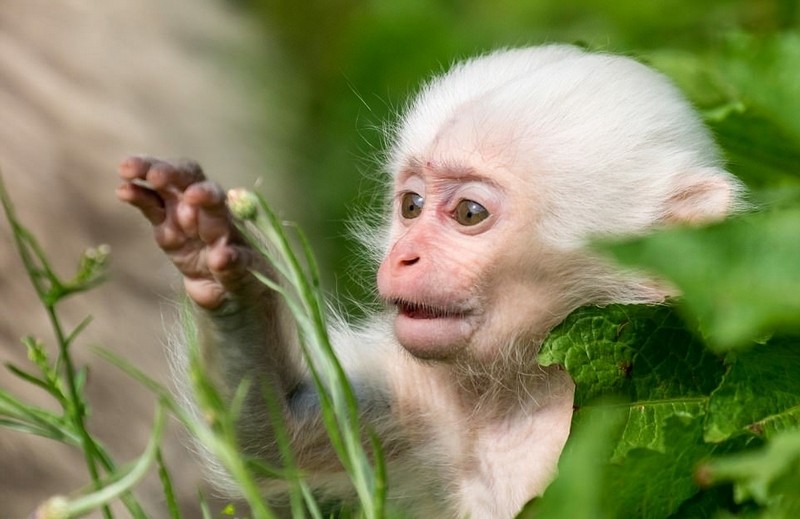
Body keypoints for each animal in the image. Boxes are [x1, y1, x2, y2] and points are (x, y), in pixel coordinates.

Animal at [117, 44, 744, 519]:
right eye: (411, 206)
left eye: (469, 213)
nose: (404, 255)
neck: (535, 388)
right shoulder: (431, 408)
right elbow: (272, 437)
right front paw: (218, 263)